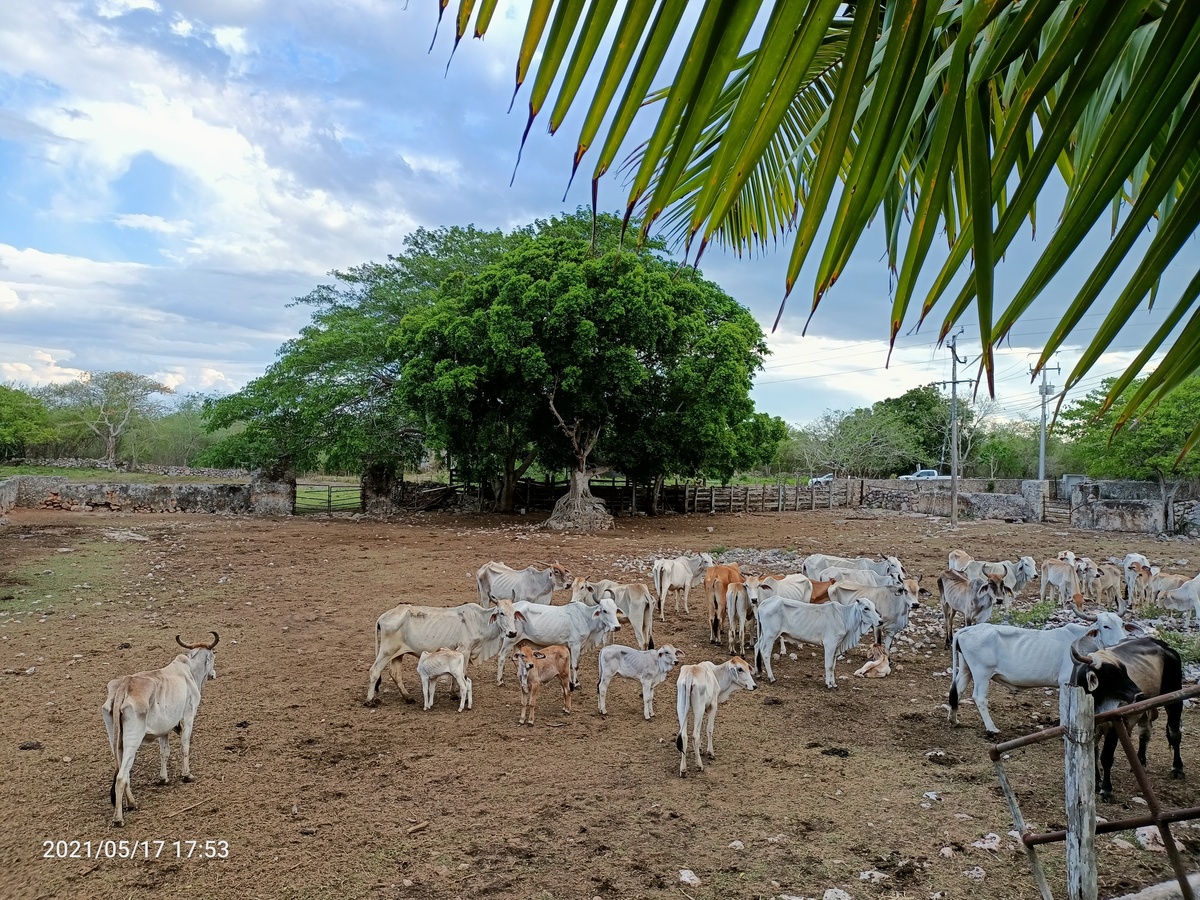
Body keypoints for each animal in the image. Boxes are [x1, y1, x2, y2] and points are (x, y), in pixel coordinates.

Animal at [362, 602, 518, 710]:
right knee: (375, 671)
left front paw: (454, 694)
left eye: (514, 614)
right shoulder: (465, 650)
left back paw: (408, 697)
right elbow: (462, 675)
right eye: (501, 613)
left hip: (397, 654)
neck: (479, 620)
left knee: (395, 674)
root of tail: (382, 617)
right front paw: (459, 696)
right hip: (386, 651)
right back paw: (369, 701)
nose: (513, 632)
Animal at [945, 619, 1142, 734]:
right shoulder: (1066, 682)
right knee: (979, 697)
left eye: (1122, 624)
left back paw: (954, 720)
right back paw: (992, 728)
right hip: (982, 673)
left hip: (966, 670)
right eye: (1106, 626)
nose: (1123, 639)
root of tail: (967, 629)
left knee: (957, 692)